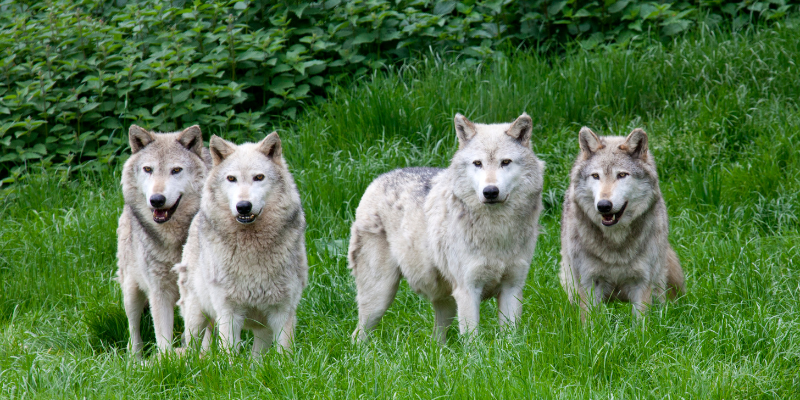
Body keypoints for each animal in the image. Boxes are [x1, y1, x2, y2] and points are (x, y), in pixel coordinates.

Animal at [116, 124, 210, 355]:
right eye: (148, 169)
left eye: (176, 170)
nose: (157, 200)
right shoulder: (158, 291)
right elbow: (163, 338)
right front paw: (167, 362)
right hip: (131, 291)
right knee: (133, 331)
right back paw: (135, 359)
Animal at [174, 132, 307, 356]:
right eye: (231, 179)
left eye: (259, 177)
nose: (243, 206)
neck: (251, 246)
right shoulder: (228, 312)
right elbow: (229, 354)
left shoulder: (283, 311)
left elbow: (284, 355)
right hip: (196, 316)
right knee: (191, 350)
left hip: (261, 329)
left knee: (257, 358)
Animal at [349, 113, 545, 344]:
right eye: (477, 163)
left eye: (505, 162)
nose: (490, 191)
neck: (497, 230)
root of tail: (378, 179)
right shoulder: (468, 291)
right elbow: (473, 343)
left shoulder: (512, 289)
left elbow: (511, 340)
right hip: (380, 297)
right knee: (357, 335)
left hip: (446, 303)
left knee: (436, 339)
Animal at [559, 127, 685, 321]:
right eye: (595, 176)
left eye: (622, 175)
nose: (603, 205)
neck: (616, 243)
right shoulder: (588, 282)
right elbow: (590, 323)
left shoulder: (642, 283)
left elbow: (641, 324)